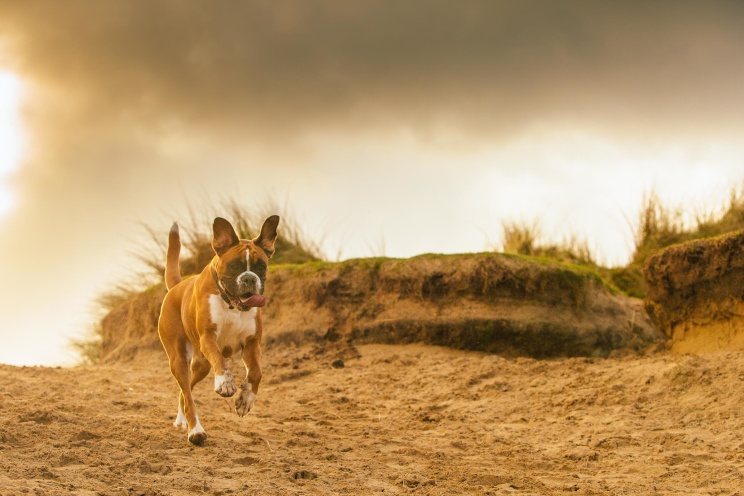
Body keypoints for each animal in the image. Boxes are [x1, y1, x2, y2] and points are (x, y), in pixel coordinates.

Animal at [157, 215, 280, 444]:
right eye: (234, 266)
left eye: (261, 267)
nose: (249, 278)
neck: (231, 304)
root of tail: (177, 287)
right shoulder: (208, 338)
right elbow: (220, 360)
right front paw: (225, 381)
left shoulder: (252, 344)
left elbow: (256, 372)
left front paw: (246, 398)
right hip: (179, 359)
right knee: (187, 394)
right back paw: (195, 430)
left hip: (201, 365)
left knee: (184, 392)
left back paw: (182, 420)